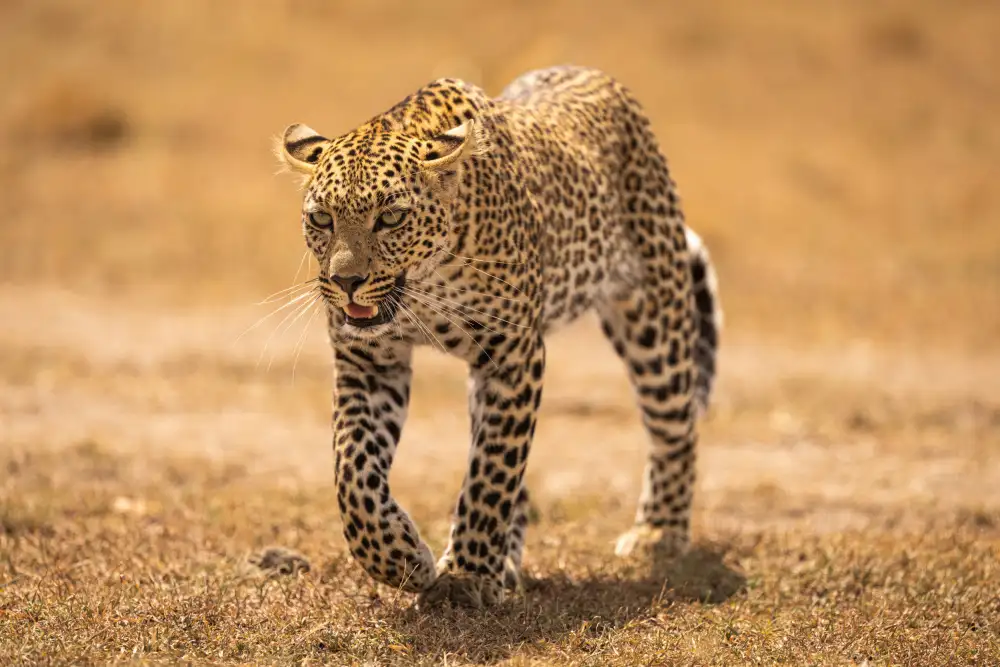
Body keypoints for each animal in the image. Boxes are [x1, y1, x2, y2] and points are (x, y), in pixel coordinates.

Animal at [274, 65, 722, 608]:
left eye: (392, 217)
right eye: (321, 219)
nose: (346, 282)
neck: (427, 282)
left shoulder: (512, 356)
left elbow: (491, 474)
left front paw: (467, 574)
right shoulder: (369, 361)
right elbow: (353, 471)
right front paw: (402, 558)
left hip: (654, 316)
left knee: (674, 427)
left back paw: (658, 532)